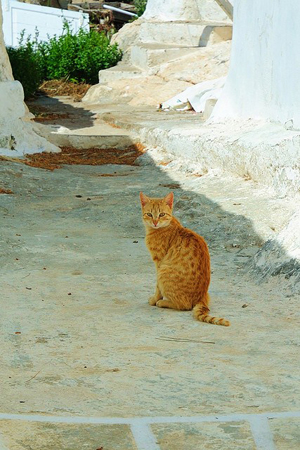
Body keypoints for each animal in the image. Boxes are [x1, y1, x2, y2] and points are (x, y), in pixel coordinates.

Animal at [141, 191, 230, 326]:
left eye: (161, 214)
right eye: (149, 214)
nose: (155, 222)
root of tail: (201, 297)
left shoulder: (159, 262)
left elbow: (158, 287)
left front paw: (155, 299)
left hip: (164, 271)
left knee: (184, 305)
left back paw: (163, 302)